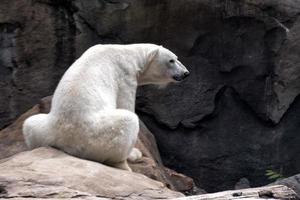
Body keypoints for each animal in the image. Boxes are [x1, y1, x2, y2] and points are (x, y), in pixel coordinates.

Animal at [22, 43, 188, 170]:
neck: (130, 54)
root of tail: (66, 143)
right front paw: (135, 152)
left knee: (29, 123)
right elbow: (126, 105)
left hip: (44, 129)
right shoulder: (125, 77)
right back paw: (127, 161)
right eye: (172, 60)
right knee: (127, 121)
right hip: (96, 134)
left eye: (177, 58)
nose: (186, 73)